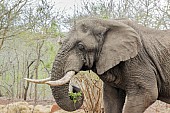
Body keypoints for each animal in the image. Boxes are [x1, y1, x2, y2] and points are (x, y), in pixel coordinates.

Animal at [24, 17, 170, 112]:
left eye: (81, 47)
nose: (75, 89)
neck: (107, 23)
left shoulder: (138, 59)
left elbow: (146, 94)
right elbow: (111, 98)